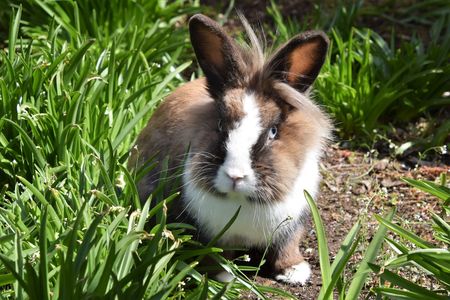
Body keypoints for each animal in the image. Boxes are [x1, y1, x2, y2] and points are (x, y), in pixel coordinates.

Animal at [128, 14, 332, 284]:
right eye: (220, 125)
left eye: (273, 131)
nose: (235, 176)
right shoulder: (206, 233)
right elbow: (213, 254)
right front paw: (223, 277)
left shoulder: (292, 224)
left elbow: (286, 247)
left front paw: (294, 271)